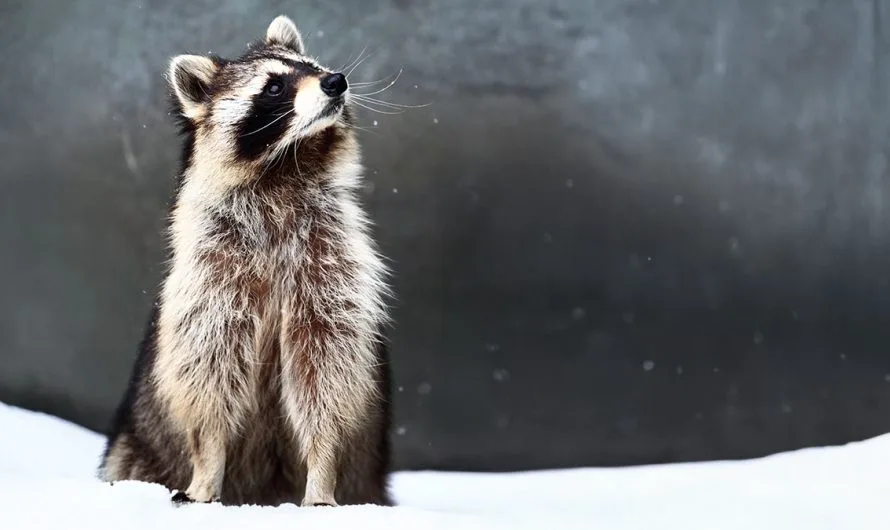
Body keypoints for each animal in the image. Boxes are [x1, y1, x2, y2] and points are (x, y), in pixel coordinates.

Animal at [98, 15, 393, 508]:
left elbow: (327, 370)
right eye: (273, 87)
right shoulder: (211, 269)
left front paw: (322, 469)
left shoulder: (329, 262)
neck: (287, 165)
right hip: (133, 447)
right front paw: (207, 469)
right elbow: (208, 372)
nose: (335, 80)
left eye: (312, 66)